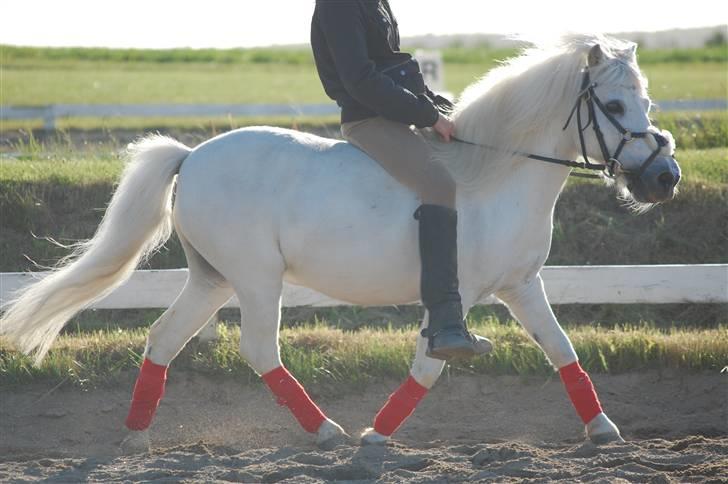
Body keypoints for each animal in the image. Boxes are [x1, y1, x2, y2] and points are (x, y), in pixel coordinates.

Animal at [2, 36, 680, 452]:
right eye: (614, 104)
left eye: (646, 100)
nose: (664, 179)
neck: (496, 173)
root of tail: (191, 154)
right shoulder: (456, 301)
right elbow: (429, 368)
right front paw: (374, 438)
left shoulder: (521, 286)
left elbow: (562, 349)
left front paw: (603, 429)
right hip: (256, 278)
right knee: (258, 348)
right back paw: (326, 431)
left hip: (212, 279)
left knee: (163, 340)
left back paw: (137, 438)